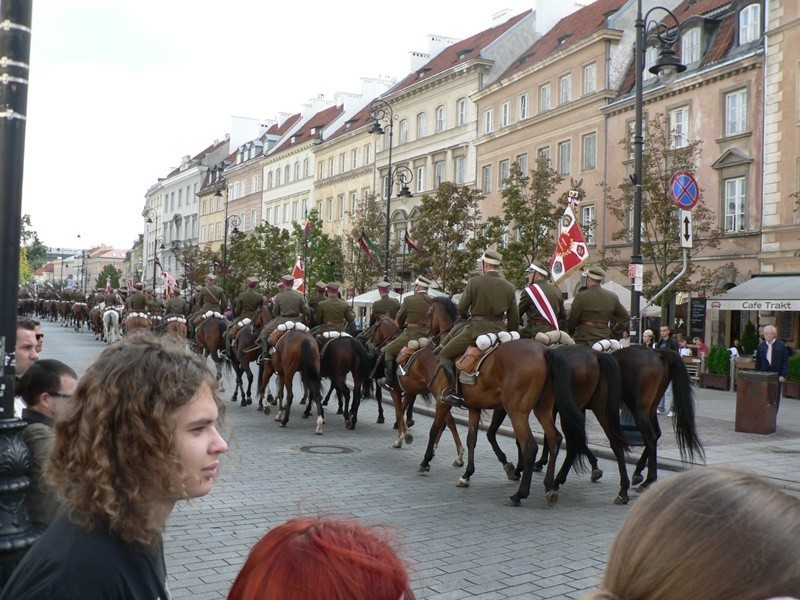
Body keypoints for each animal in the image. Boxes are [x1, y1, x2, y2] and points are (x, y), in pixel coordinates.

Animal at [418, 338, 588, 506]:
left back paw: (519, 495)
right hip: (542, 409)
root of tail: (545, 351)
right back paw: (550, 487)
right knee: (554, 439)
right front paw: (466, 475)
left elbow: (434, 429)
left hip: (517, 412)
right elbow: (471, 440)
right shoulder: (474, 407)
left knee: (530, 447)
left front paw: (425, 461)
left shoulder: (442, 403)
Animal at [616, 344, 704, 490]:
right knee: (656, 434)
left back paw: (648, 479)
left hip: (639, 409)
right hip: (651, 408)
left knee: (651, 437)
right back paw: (640, 474)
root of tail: (657, 352)